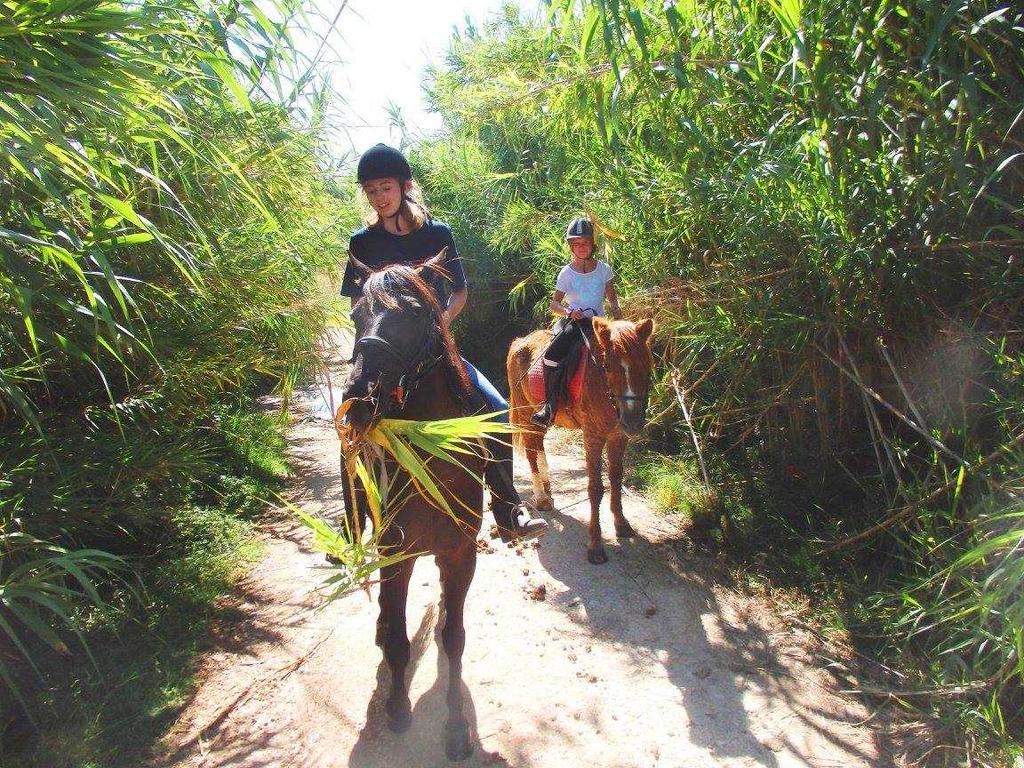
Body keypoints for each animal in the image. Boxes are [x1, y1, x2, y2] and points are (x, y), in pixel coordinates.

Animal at [339, 256, 483, 761]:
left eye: (417, 314)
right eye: (356, 315)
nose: (358, 400)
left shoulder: (460, 552)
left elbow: (455, 640)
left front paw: (456, 728)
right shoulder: (395, 556)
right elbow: (401, 643)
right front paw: (399, 710)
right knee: (388, 620)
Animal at [503, 319, 655, 565]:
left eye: (647, 364)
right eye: (607, 366)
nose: (633, 422)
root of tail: (520, 341)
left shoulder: (618, 437)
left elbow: (616, 479)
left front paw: (621, 524)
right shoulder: (592, 437)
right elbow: (595, 488)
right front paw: (595, 545)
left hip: (541, 417)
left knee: (539, 444)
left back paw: (547, 484)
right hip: (525, 414)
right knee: (531, 450)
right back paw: (541, 497)